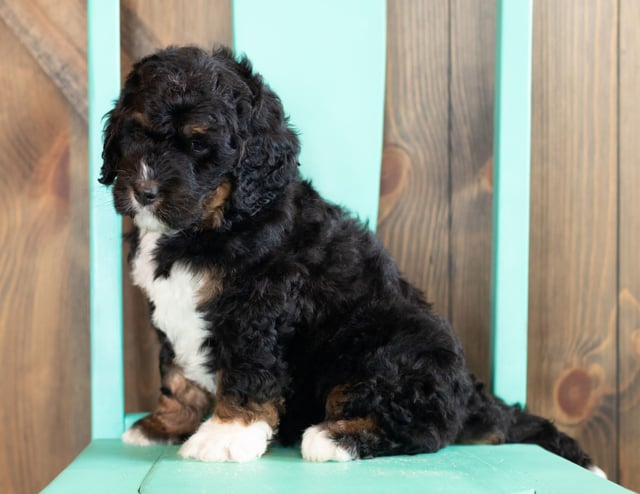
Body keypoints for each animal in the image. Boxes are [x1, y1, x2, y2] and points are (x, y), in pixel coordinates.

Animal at [101, 46, 604, 474]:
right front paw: (165, 423)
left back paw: (334, 438)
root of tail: (469, 391)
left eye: (200, 146)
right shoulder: (172, 308)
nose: (143, 191)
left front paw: (225, 435)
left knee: (425, 430)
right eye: (136, 133)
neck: (212, 224)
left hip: (390, 353)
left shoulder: (258, 307)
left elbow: (246, 370)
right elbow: (175, 373)